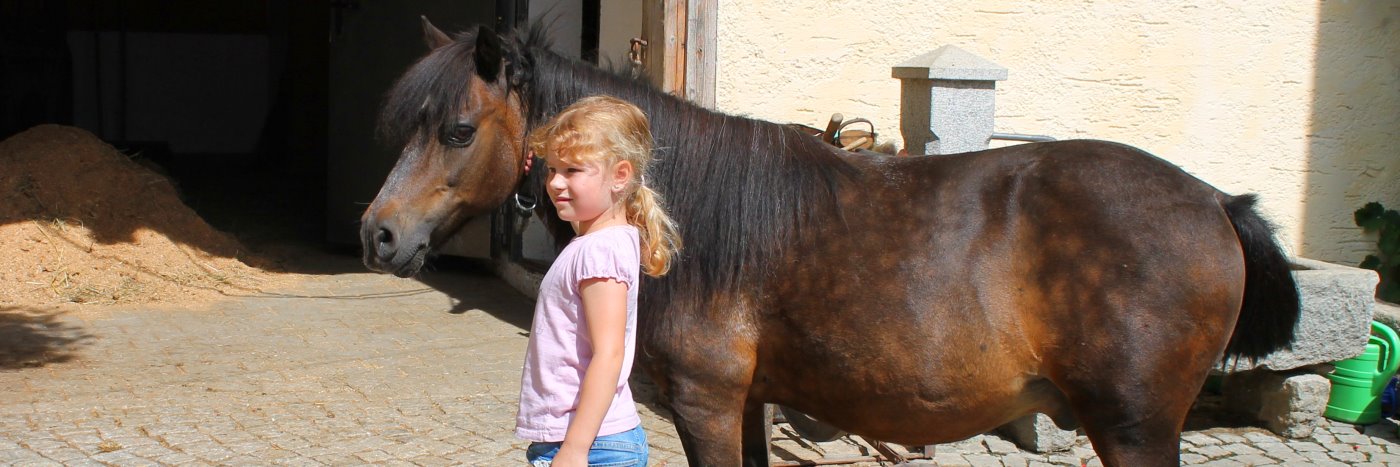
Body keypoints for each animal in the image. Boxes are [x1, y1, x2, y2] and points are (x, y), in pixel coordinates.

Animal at [361, 20, 1299, 464]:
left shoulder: (705, 403)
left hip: (1135, 427)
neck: (698, 223)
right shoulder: (747, 403)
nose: (377, 233)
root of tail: (1217, 201)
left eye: (456, 129)